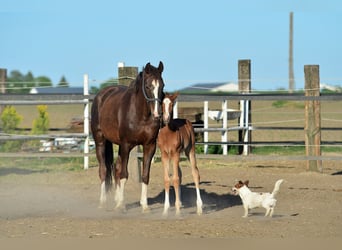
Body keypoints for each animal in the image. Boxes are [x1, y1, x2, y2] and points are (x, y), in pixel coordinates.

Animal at [91, 61, 166, 211]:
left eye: (162, 85)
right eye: (148, 86)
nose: (157, 114)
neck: (140, 115)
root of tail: (101, 94)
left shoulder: (150, 146)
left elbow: (145, 175)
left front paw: (144, 206)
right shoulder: (126, 145)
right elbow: (124, 174)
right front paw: (121, 205)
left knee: (116, 168)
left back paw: (117, 200)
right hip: (100, 141)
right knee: (104, 170)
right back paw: (103, 202)